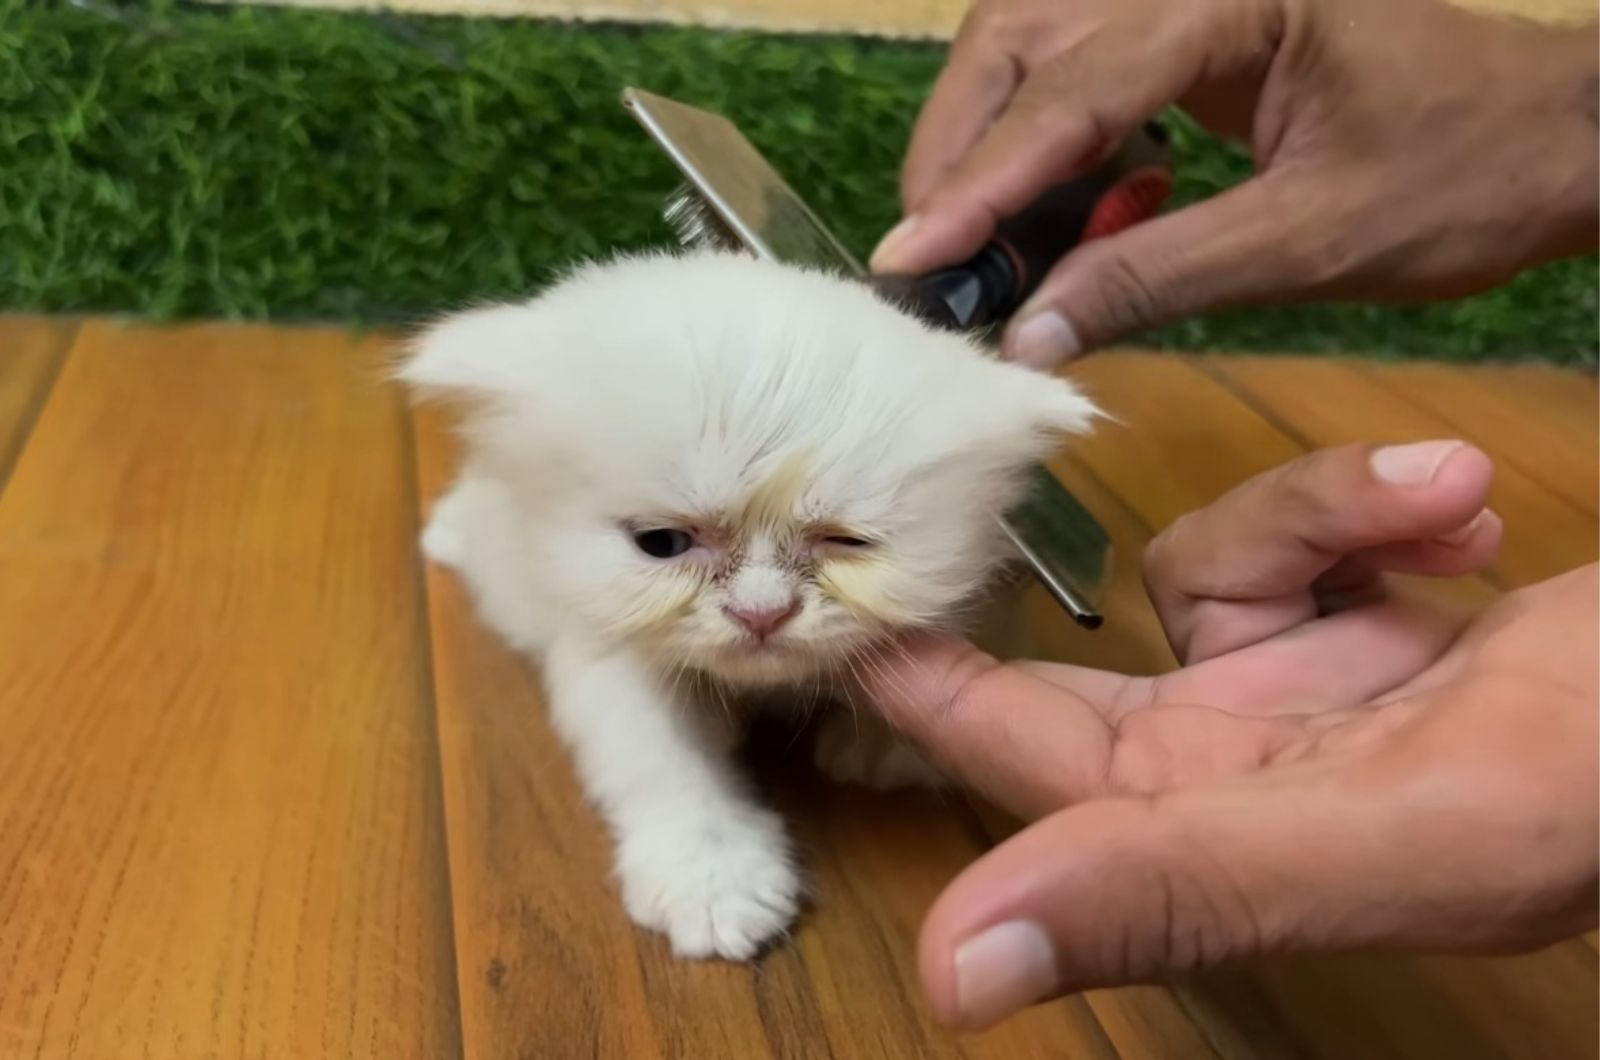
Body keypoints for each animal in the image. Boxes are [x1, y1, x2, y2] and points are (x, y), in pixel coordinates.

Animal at [400, 251, 1100, 960]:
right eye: (661, 543)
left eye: (847, 543)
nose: (762, 611)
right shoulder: (613, 655)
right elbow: (665, 764)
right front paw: (712, 882)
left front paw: (883, 747)